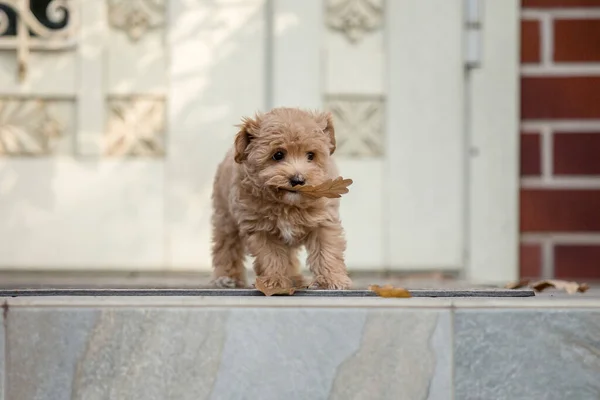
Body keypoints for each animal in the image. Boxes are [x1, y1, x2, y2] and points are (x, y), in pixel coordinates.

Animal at [211, 106, 352, 290]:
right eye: (278, 155)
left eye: (311, 155)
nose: (298, 180)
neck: (287, 205)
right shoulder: (261, 229)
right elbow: (272, 256)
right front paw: (275, 281)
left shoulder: (324, 221)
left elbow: (326, 250)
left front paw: (332, 280)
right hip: (225, 217)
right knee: (227, 247)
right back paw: (227, 278)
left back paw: (296, 279)